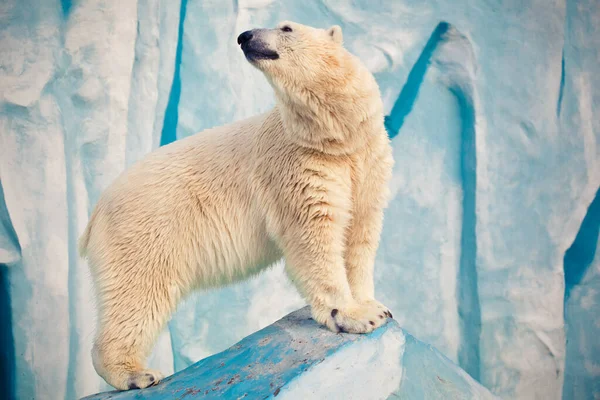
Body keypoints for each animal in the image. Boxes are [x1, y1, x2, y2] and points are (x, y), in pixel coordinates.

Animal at [79, 21, 396, 390]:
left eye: (286, 27)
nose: (245, 36)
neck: (334, 139)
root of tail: (97, 210)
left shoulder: (366, 163)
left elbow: (360, 235)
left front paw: (373, 306)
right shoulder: (297, 166)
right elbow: (315, 238)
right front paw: (351, 315)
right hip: (145, 231)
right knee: (137, 292)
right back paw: (136, 373)